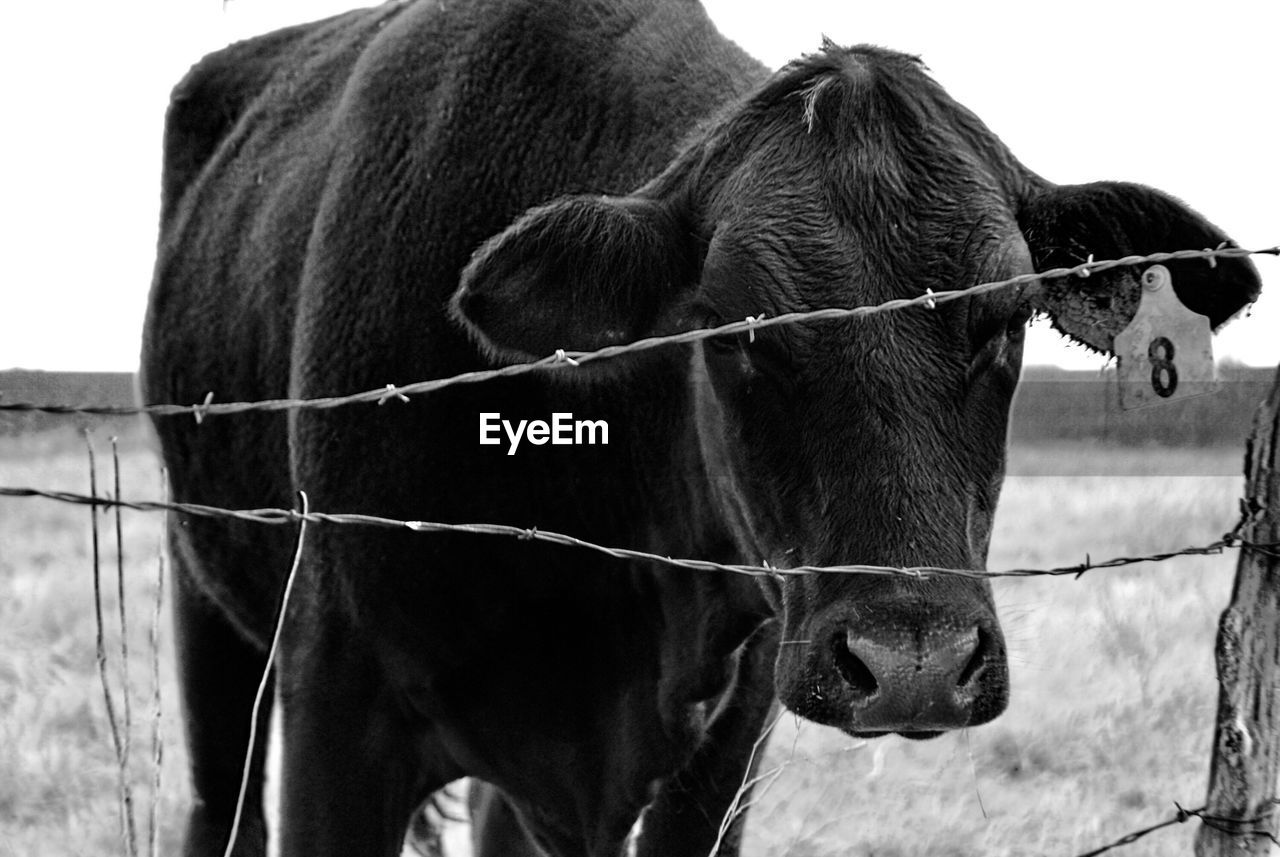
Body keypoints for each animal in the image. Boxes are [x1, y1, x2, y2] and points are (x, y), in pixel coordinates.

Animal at [142, 1, 1259, 857]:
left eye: (1005, 315)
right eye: (735, 324)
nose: (914, 661)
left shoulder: (728, 736)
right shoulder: (336, 708)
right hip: (206, 596)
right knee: (216, 807)